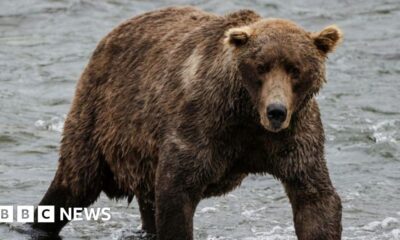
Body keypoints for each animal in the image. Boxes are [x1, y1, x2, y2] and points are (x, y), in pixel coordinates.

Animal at [31, 5, 344, 240]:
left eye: (295, 69)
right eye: (261, 67)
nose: (276, 111)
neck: (247, 115)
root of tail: (113, 32)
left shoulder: (294, 137)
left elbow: (315, 198)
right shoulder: (202, 124)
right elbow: (177, 190)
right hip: (102, 117)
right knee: (74, 183)